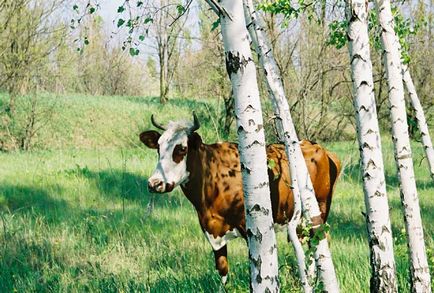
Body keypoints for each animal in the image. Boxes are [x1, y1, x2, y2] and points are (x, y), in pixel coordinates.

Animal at [138, 113, 340, 284]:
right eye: (158, 148)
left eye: (181, 149)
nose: (154, 183)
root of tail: (321, 149)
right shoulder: (212, 231)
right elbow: (223, 271)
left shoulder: (250, 230)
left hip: (319, 209)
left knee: (318, 242)